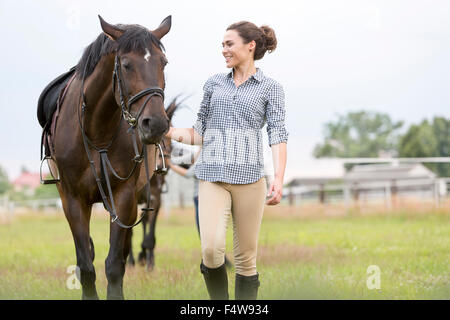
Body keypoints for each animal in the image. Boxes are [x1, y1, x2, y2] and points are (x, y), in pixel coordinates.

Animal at [37, 15, 172, 300]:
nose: (155, 124)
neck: (97, 131)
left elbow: (114, 265)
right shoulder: (73, 200)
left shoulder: (123, 196)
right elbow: (86, 265)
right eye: (126, 64)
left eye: (163, 63)